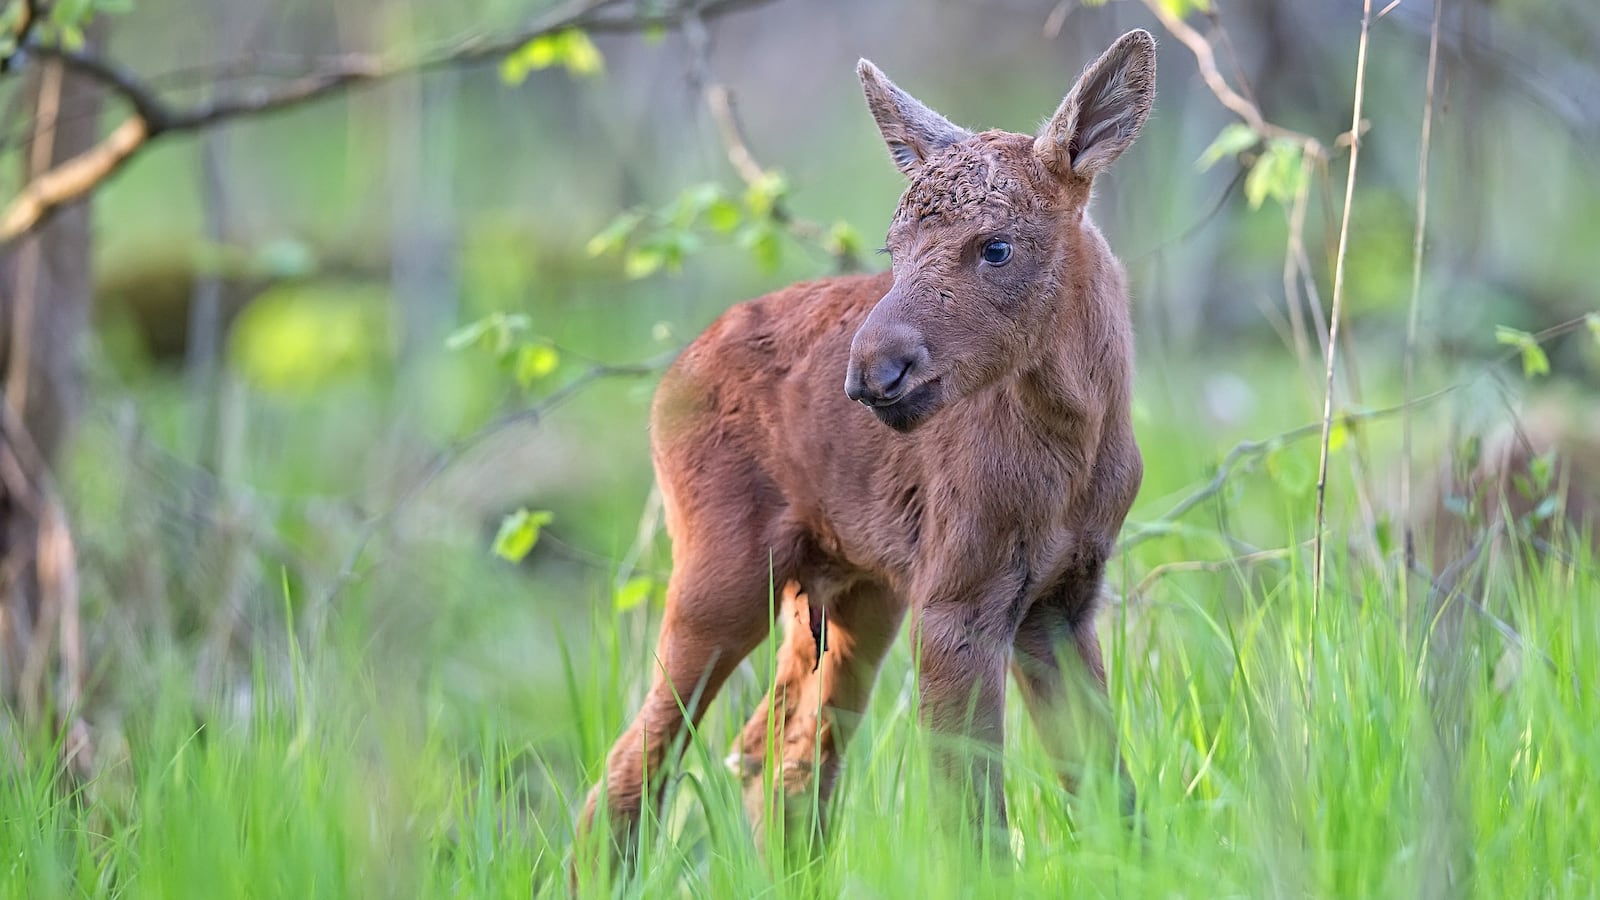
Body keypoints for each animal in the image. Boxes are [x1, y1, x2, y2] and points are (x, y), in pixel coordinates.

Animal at [574, 28, 1155, 876]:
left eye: (997, 246)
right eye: (894, 245)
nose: (874, 372)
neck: (1075, 448)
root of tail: (669, 378)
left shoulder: (1063, 600)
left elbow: (1111, 793)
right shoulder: (956, 599)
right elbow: (973, 817)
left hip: (851, 592)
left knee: (777, 752)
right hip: (724, 575)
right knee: (636, 764)